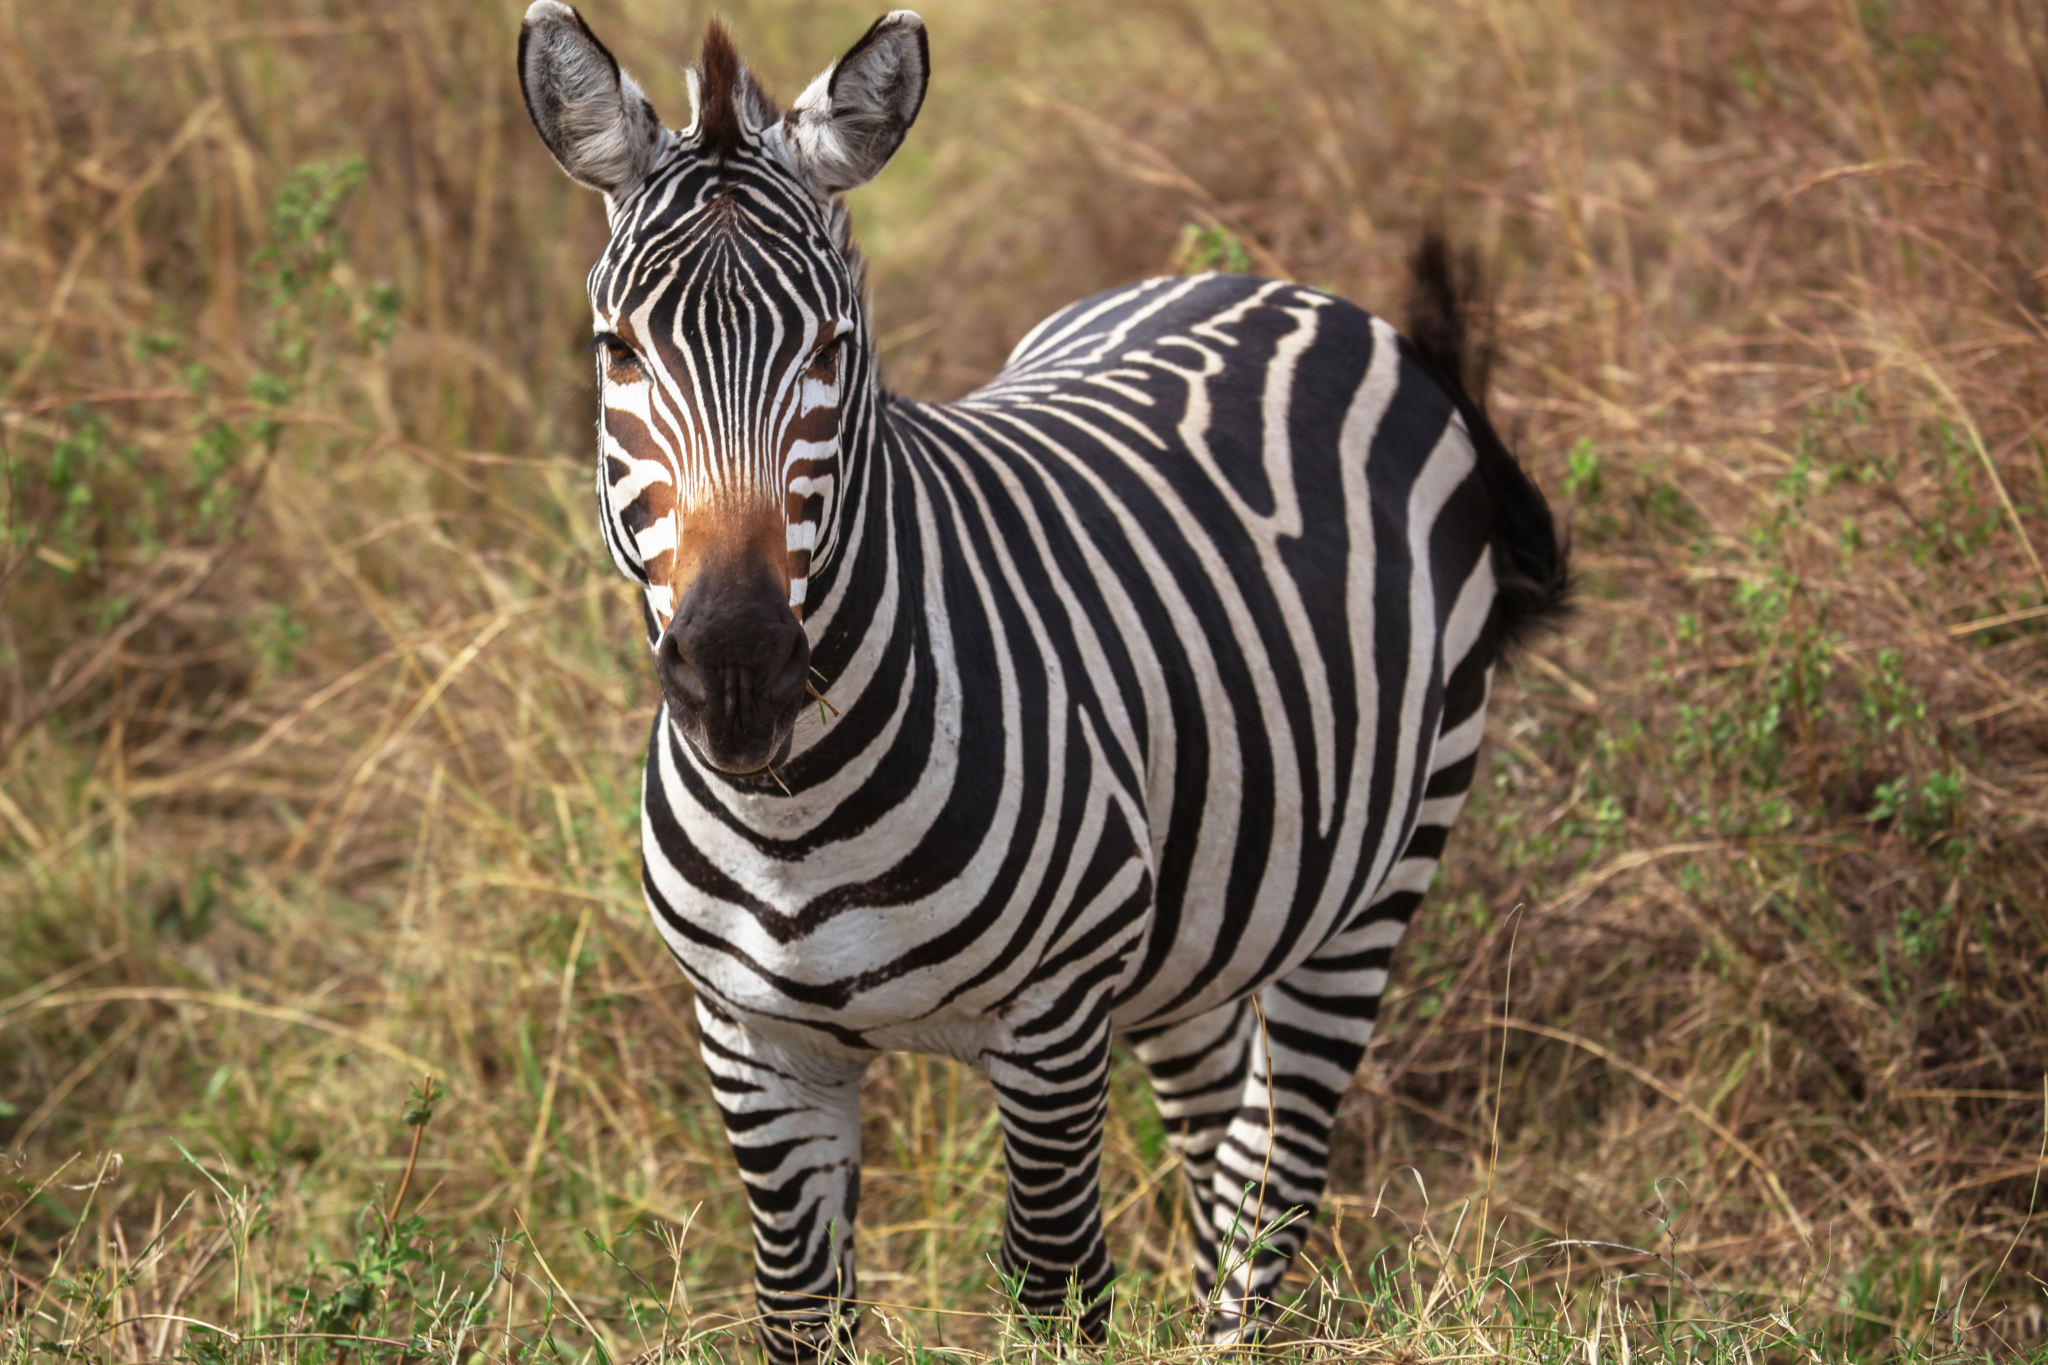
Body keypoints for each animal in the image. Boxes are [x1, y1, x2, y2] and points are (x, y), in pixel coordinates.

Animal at [520, 7, 1572, 1358]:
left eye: (833, 349)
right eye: (616, 350)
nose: (738, 673)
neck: (791, 814)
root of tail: (1272, 287)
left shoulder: (1054, 1023)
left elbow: (1052, 1285)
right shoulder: (755, 1046)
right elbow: (798, 1309)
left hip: (1377, 880)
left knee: (1278, 1177)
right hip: (1196, 922)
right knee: (1223, 1149)